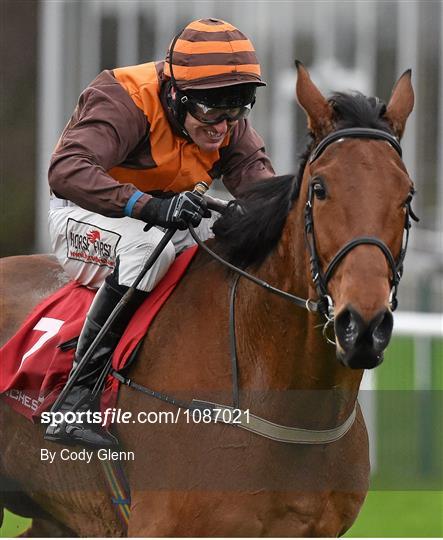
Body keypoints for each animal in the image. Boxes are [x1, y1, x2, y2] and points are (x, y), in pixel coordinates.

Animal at [0, 63, 416, 536]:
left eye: (407, 195)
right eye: (320, 188)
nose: (362, 326)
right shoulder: (158, 525)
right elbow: (73, 163)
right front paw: (174, 208)